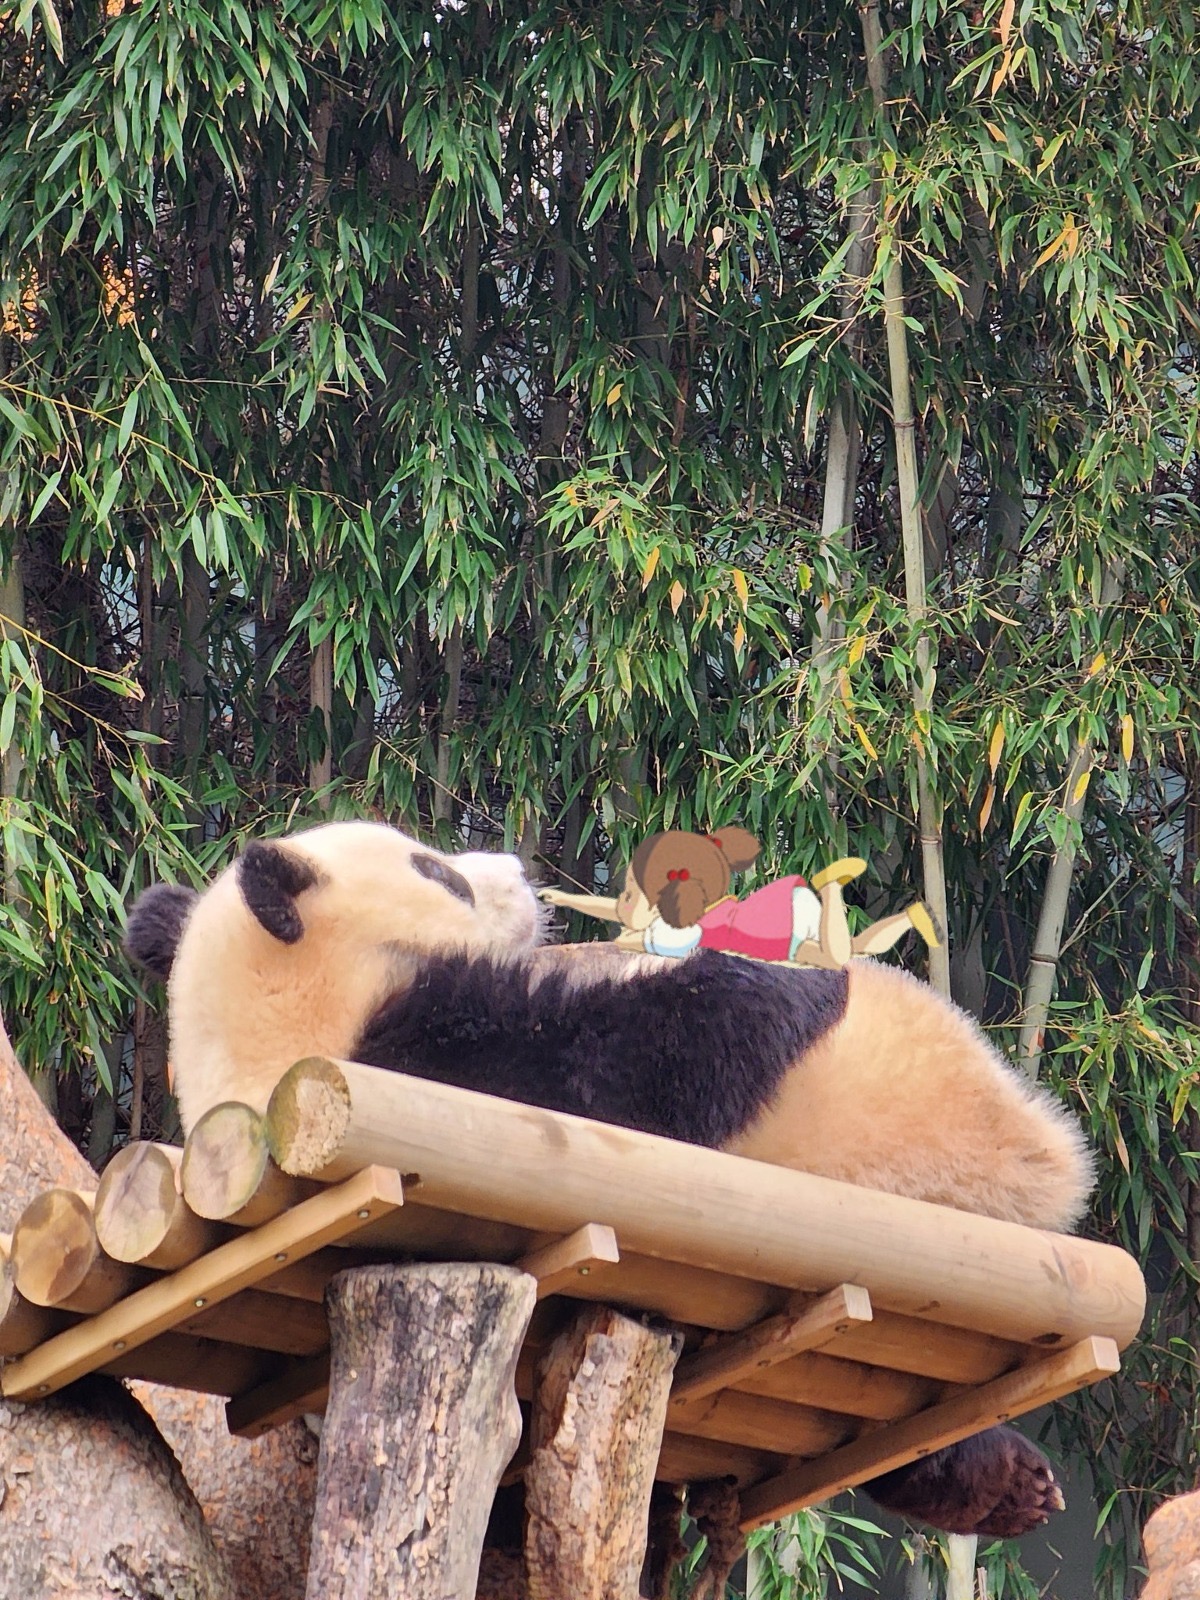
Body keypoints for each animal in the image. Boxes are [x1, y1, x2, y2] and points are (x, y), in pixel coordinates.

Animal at [127, 819, 1094, 1542]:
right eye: (436, 871)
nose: (517, 867)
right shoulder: (444, 1071)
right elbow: (644, 1066)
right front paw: (790, 977)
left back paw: (1008, 1486)